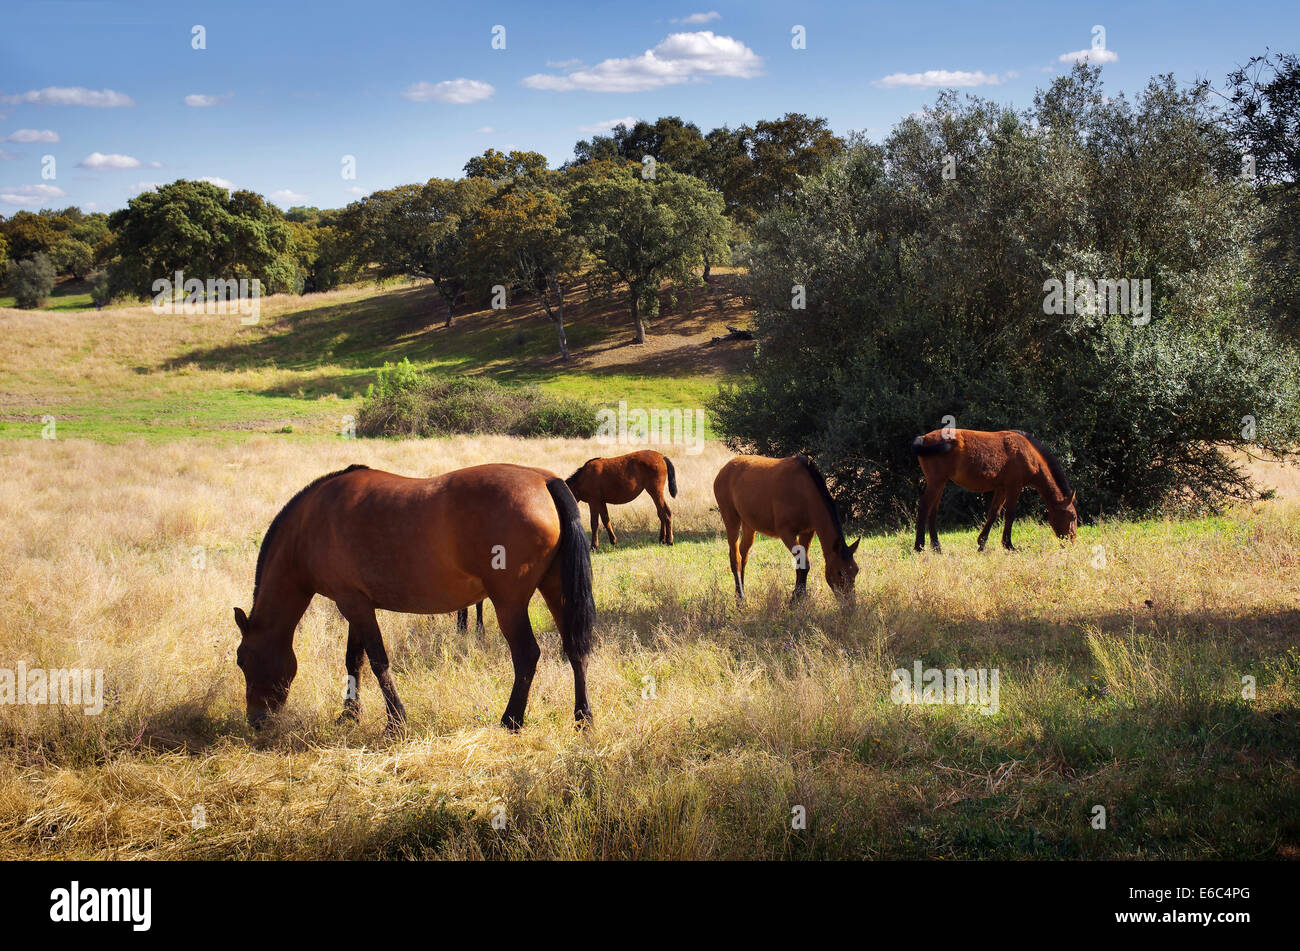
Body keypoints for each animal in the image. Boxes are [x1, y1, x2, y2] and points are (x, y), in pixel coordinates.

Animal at [232, 465, 595, 732]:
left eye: (242, 660)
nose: (256, 720)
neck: (310, 524)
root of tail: (545, 481)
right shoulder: (355, 603)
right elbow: (354, 660)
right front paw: (349, 714)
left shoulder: (353, 604)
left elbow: (378, 662)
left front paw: (395, 721)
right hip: (556, 589)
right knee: (575, 649)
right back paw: (583, 718)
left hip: (509, 603)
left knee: (527, 655)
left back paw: (511, 720)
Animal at [712, 452, 863, 602]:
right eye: (840, 572)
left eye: (856, 571)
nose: (850, 603)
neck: (803, 491)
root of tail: (724, 469)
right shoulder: (786, 533)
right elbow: (804, 564)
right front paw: (796, 598)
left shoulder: (807, 532)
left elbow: (801, 564)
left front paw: (799, 596)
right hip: (731, 519)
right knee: (735, 557)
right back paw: (741, 597)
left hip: (749, 524)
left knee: (743, 554)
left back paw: (739, 592)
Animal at [909, 428, 1081, 553]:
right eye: (1072, 516)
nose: (1071, 542)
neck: (1028, 452)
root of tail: (924, 438)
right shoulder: (1014, 487)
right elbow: (1009, 514)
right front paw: (1009, 545)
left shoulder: (1002, 488)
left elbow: (993, 513)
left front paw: (981, 544)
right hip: (936, 482)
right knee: (924, 507)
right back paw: (919, 547)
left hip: (940, 482)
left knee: (933, 510)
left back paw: (937, 547)